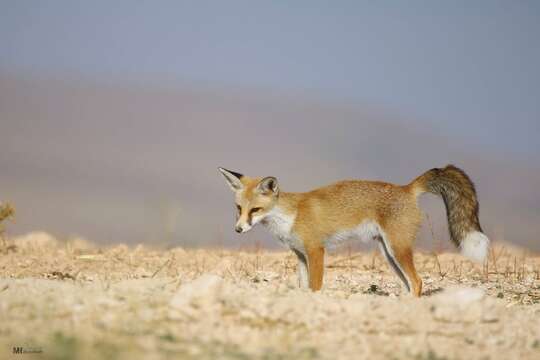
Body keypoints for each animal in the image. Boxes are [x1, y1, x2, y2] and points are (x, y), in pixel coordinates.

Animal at [218, 165, 490, 296]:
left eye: (255, 210)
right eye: (239, 208)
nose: (238, 229)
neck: (289, 216)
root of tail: (407, 188)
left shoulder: (316, 251)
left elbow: (315, 286)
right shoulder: (300, 255)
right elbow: (303, 286)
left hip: (398, 249)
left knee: (418, 281)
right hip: (389, 254)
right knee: (410, 284)